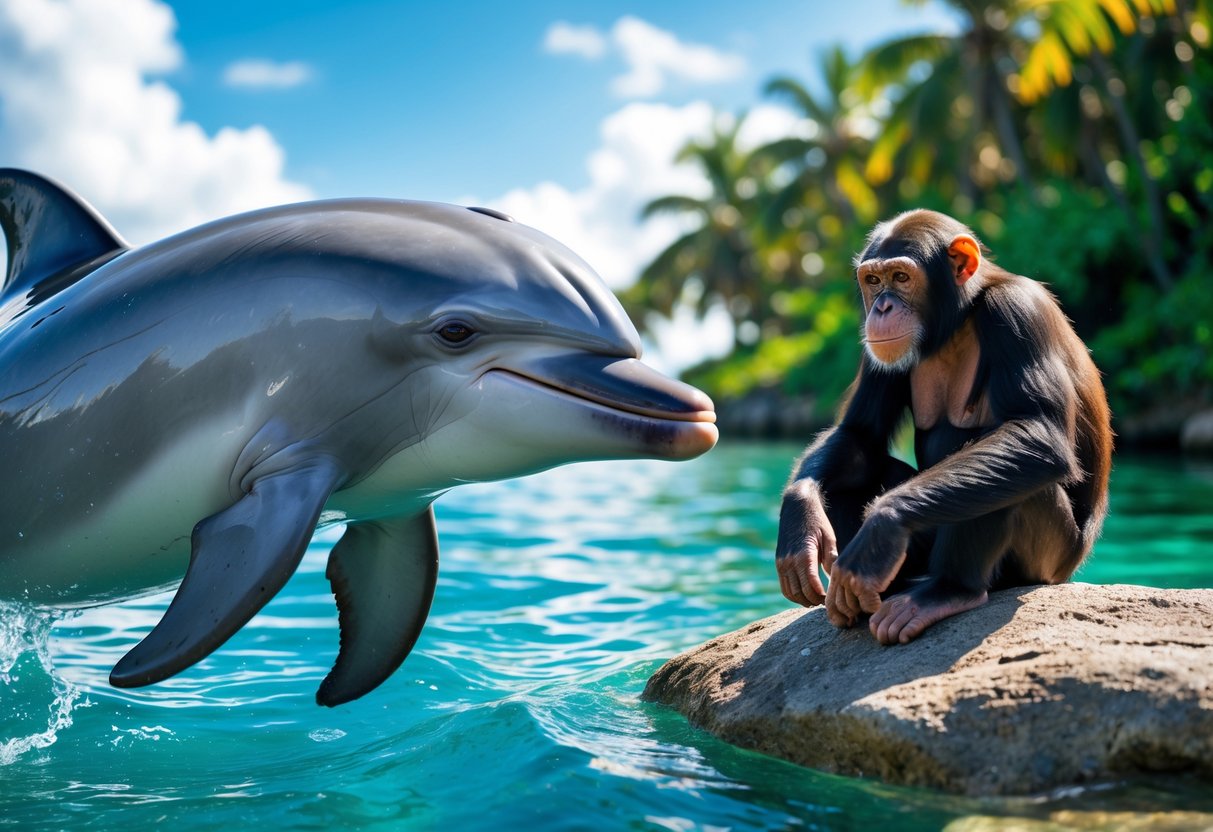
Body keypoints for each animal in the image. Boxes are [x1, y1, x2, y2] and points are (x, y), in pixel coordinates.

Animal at [775, 209, 1112, 644]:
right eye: (873, 281)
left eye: (901, 277)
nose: (881, 307)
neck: (957, 321)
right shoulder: (874, 350)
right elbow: (860, 433)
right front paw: (799, 513)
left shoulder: (1017, 311)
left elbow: (1038, 433)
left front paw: (882, 525)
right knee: (854, 476)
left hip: (1046, 564)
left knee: (1014, 473)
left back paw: (946, 592)